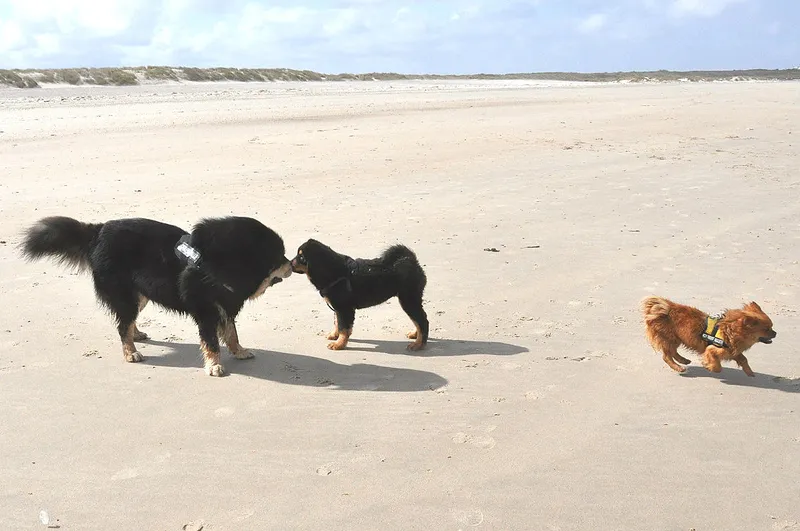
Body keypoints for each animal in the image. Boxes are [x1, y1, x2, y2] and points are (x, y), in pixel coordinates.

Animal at [20, 215, 292, 376]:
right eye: (279, 257)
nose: (292, 264)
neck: (221, 264)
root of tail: (97, 232)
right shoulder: (207, 312)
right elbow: (212, 342)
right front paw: (215, 365)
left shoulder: (224, 306)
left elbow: (232, 333)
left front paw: (239, 351)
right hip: (126, 296)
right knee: (121, 325)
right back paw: (130, 352)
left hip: (139, 295)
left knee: (128, 322)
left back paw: (137, 334)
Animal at [290, 239, 429, 351]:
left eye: (301, 257)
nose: (289, 263)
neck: (333, 271)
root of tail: (411, 259)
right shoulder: (338, 308)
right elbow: (337, 323)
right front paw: (335, 336)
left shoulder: (344, 309)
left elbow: (343, 328)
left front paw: (339, 344)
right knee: (418, 319)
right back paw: (415, 335)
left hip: (408, 299)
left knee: (422, 321)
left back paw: (418, 344)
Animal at [641, 296, 776, 376]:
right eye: (767, 329)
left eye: (771, 327)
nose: (775, 333)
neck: (730, 331)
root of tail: (665, 308)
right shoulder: (712, 349)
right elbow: (717, 366)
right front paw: (709, 366)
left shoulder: (733, 351)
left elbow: (743, 359)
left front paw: (749, 372)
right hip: (670, 338)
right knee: (666, 356)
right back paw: (679, 367)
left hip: (677, 339)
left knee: (673, 352)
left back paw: (683, 360)